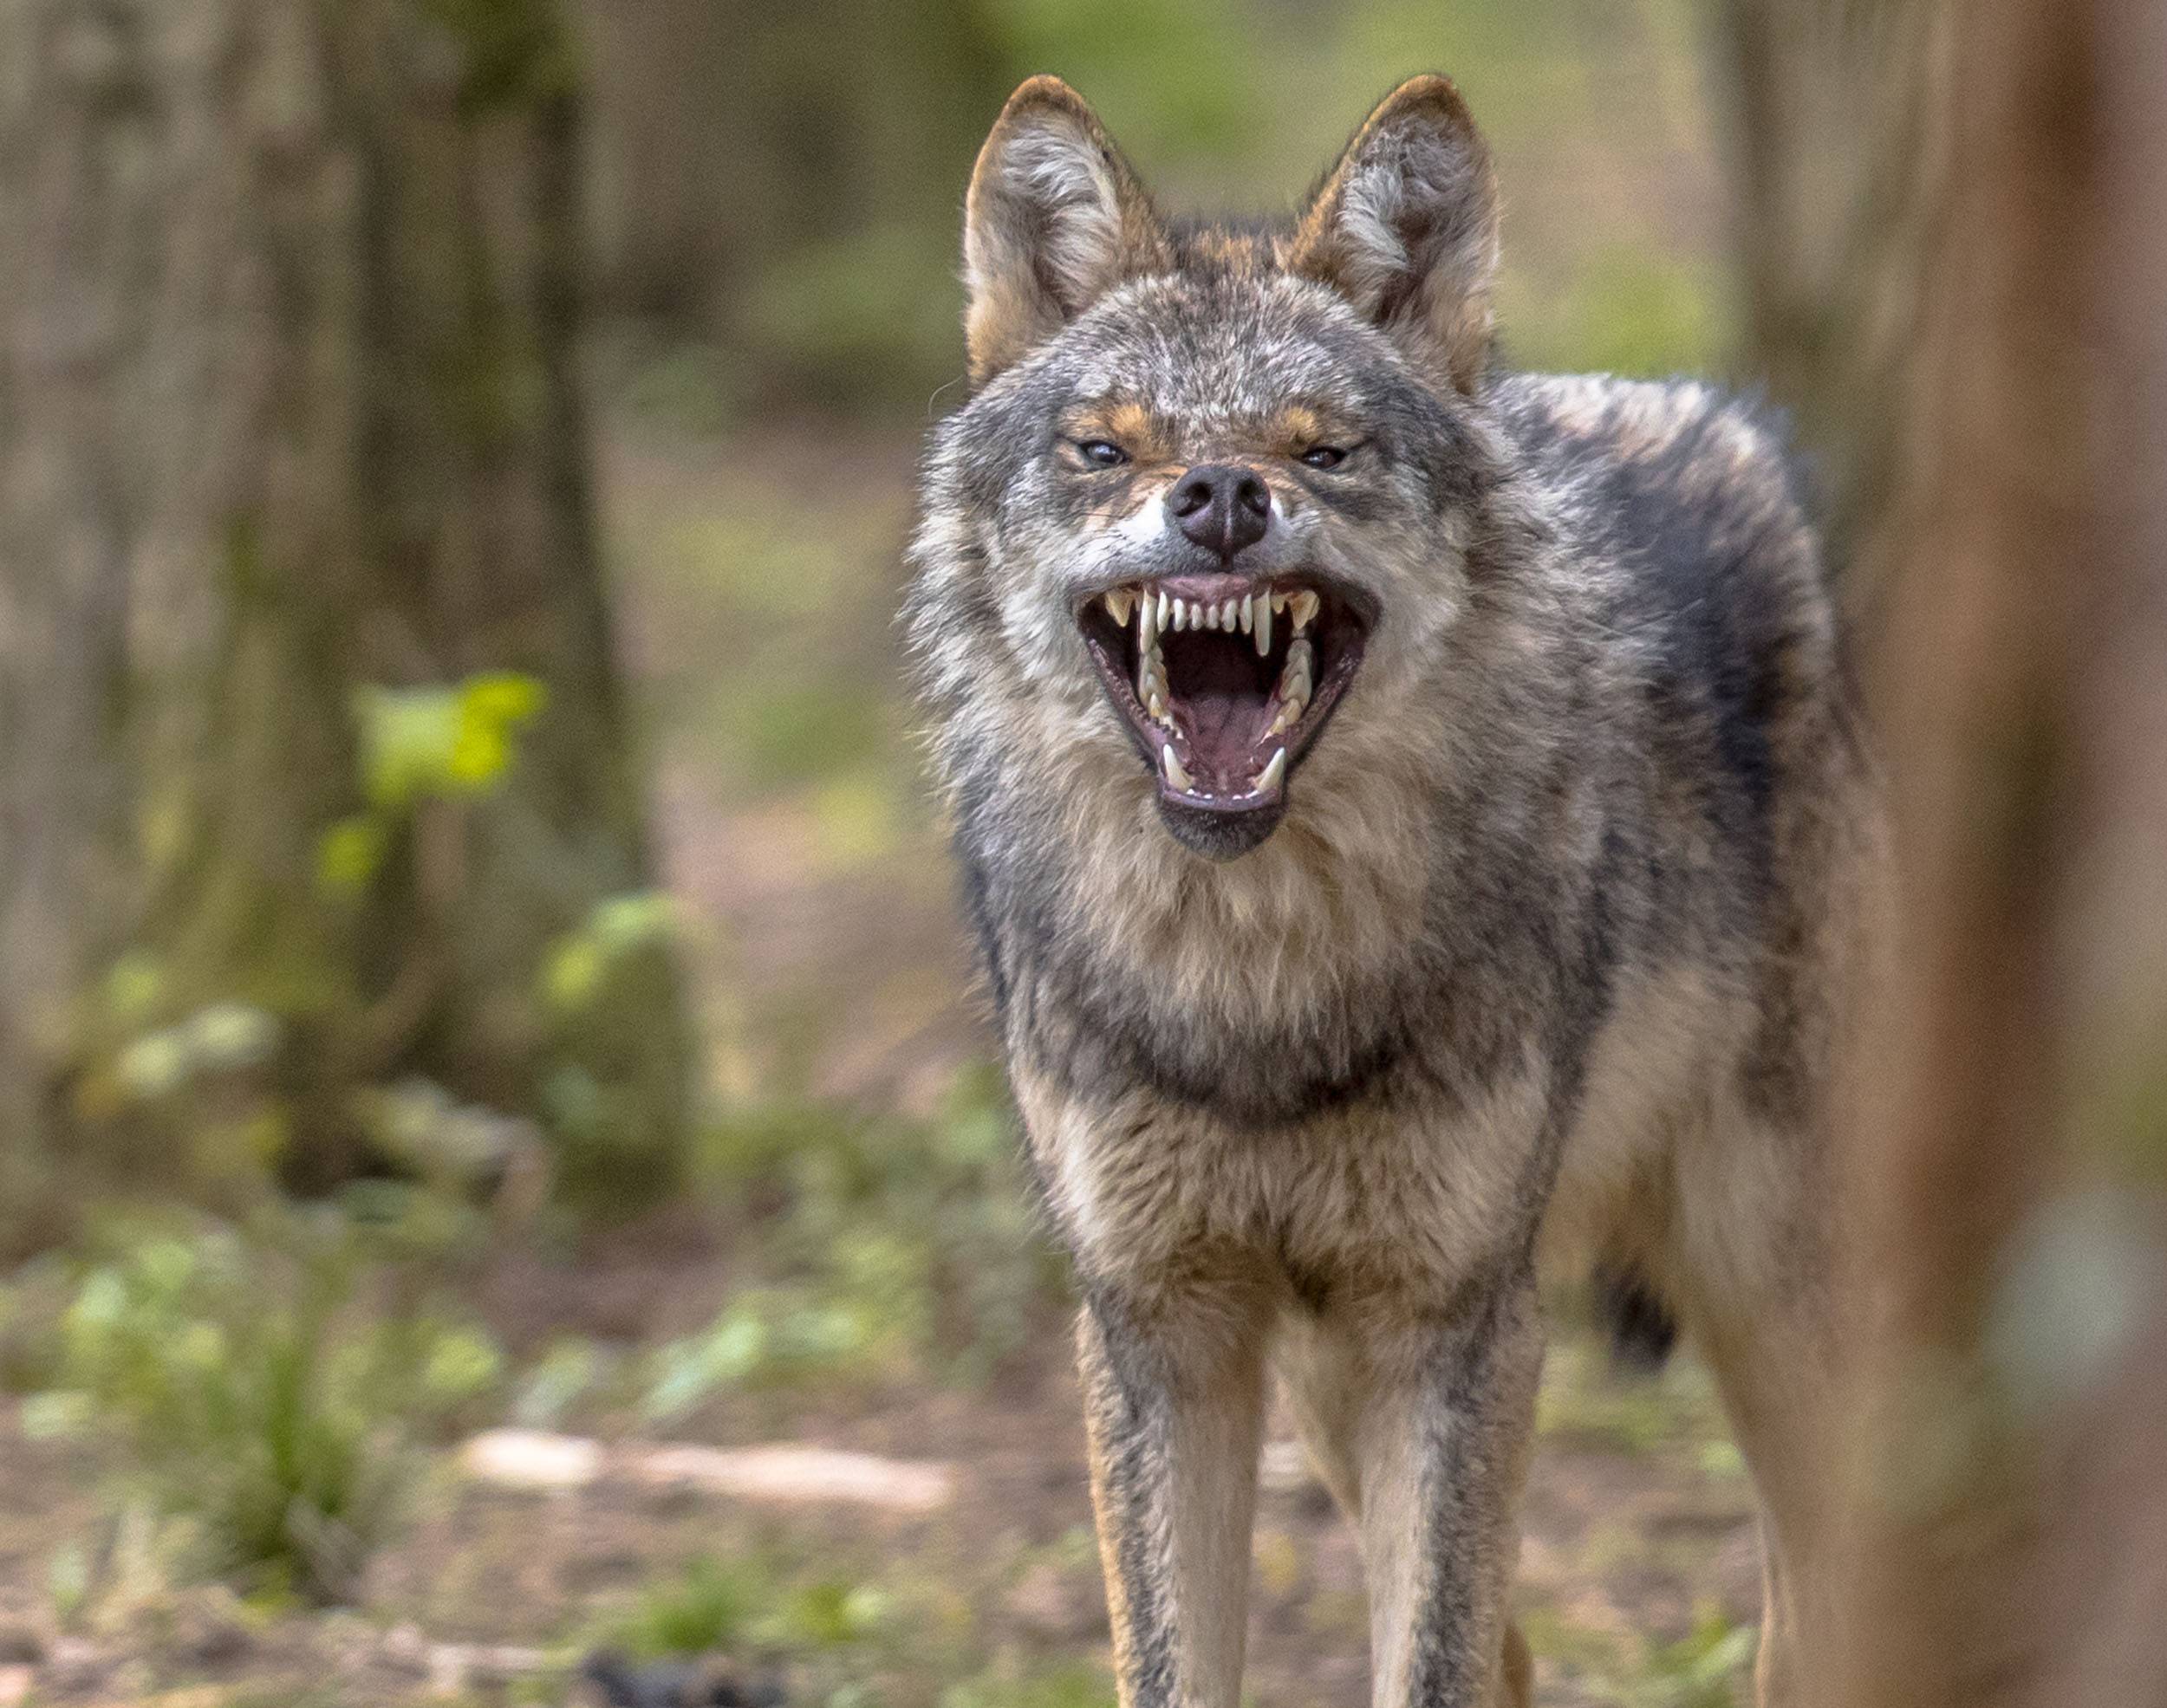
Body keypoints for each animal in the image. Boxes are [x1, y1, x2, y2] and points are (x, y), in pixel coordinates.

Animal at [905, 73, 1886, 1708]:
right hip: (1332, 1380)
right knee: (1520, 1649)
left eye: (1326, 450)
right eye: (1105, 449)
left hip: (1769, 1294)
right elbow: (1191, 1665)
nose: (1220, 494)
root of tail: (1727, 424)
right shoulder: (1164, 1327)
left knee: (1825, 1607)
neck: (1257, 984)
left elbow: (1429, 1660)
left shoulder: (1455, 1320)